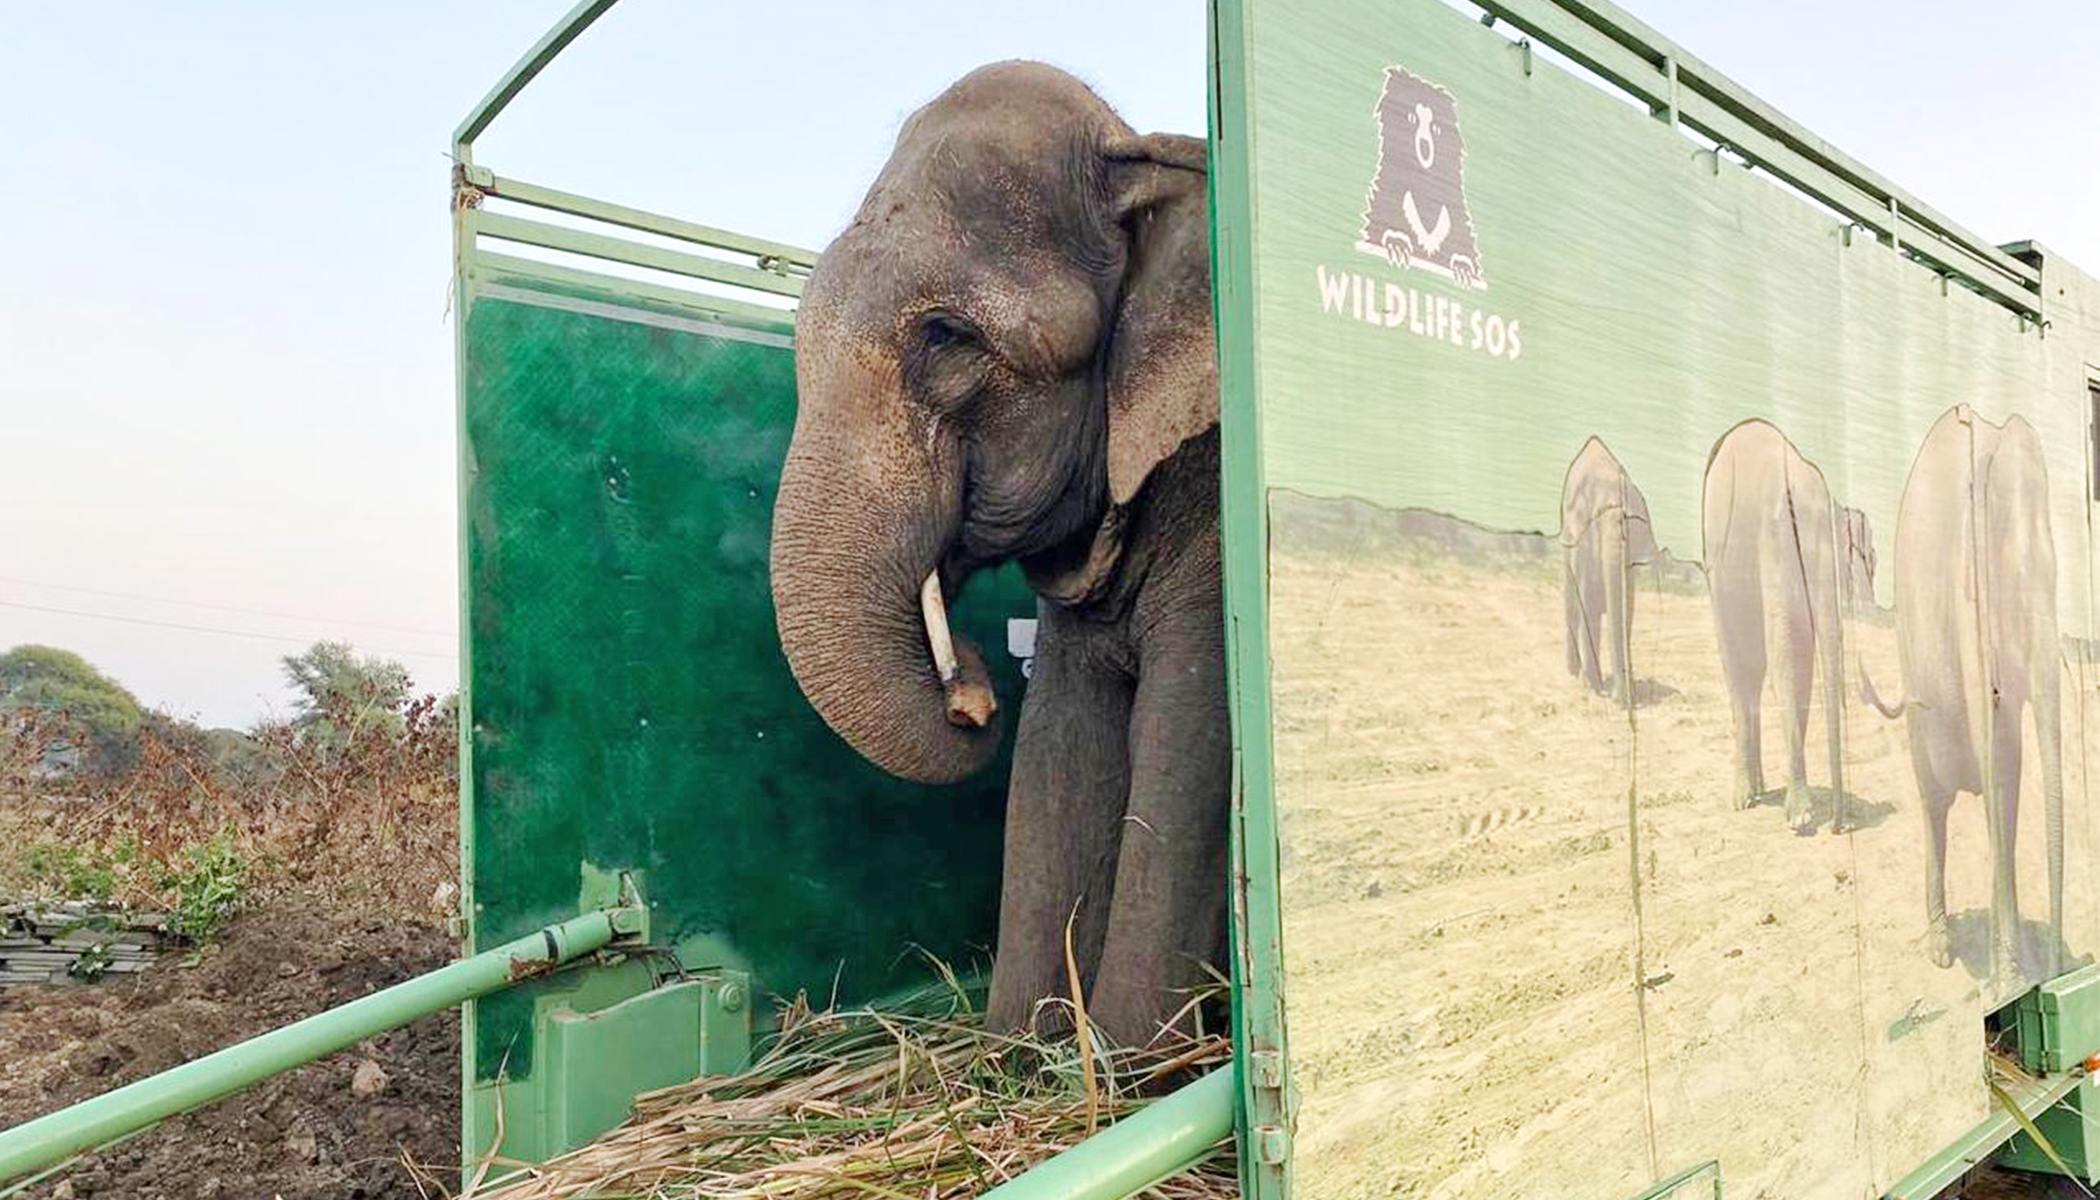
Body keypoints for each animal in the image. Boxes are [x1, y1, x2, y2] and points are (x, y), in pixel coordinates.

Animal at [772, 63, 1226, 1050]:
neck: (1141, 151)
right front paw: (1024, 1051)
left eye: (947, 336)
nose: (973, 692)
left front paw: (1131, 1066)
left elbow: (1187, 738)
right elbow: (1059, 749)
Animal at [1562, 437, 1654, 710]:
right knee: (1573, 607)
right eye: (1594, 523)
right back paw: (1575, 674)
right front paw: (1592, 688)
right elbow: (1588, 608)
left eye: (1631, 523)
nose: (1623, 704)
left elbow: (1625, 610)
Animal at [1696, 422, 1881, 836]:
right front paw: (1801, 818)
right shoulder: (1771, 541)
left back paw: (1760, 788)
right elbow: (1784, 655)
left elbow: (1798, 659)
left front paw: (1799, 812)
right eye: (1801, 549)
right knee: (1738, 663)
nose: (1842, 827)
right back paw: (1745, 796)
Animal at [1864, 407, 2058, 979]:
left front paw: (2013, 967)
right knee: (1934, 806)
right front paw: (2010, 976)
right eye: (2011, 594)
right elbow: (2000, 765)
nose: (2062, 968)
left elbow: (2007, 774)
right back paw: (1941, 950)